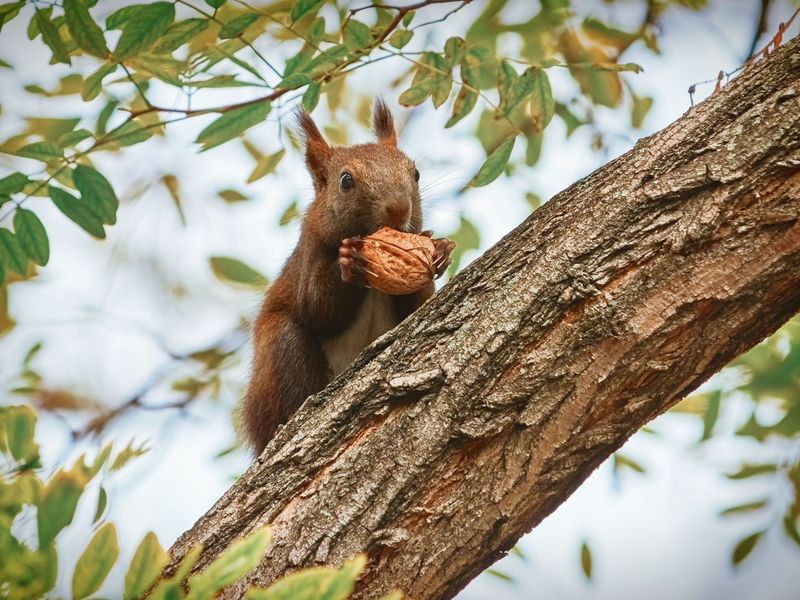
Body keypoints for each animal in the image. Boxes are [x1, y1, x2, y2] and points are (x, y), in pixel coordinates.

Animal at [244, 101, 454, 454]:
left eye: (415, 173)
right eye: (345, 181)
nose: (399, 208)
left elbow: (417, 308)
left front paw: (439, 250)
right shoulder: (310, 257)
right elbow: (317, 310)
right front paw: (351, 263)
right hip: (279, 354)